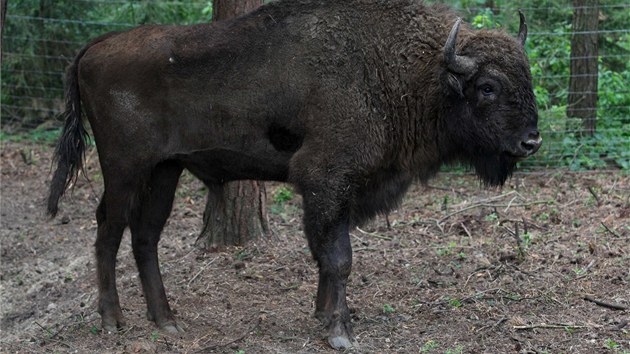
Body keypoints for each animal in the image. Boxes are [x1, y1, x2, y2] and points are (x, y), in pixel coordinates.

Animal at [48, 0, 544, 348]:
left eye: (528, 79)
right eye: (488, 86)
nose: (531, 142)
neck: (405, 69)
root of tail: (95, 46)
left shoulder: (338, 191)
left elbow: (326, 255)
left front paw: (324, 316)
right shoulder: (325, 179)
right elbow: (338, 257)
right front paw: (340, 331)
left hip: (164, 171)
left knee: (145, 235)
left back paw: (167, 321)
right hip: (124, 169)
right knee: (108, 231)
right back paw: (113, 321)